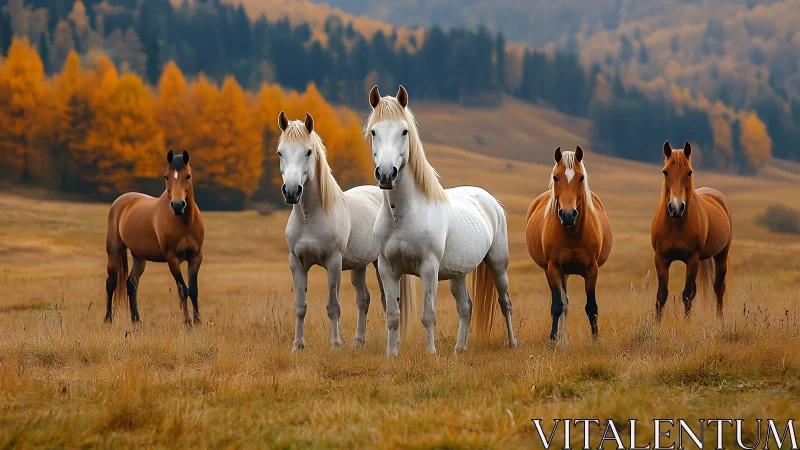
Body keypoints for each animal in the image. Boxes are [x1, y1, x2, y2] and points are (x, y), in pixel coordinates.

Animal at [104, 150, 205, 326]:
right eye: (166, 176)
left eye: (188, 176)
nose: (178, 205)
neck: (184, 223)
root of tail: (121, 201)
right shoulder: (173, 259)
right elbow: (183, 290)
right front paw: (187, 323)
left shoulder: (195, 257)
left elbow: (193, 291)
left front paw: (198, 322)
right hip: (114, 251)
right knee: (111, 283)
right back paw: (108, 320)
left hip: (139, 257)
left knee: (131, 284)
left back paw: (137, 321)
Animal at [278, 112, 414, 351]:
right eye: (280, 152)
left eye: (308, 151)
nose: (292, 191)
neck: (311, 218)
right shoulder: (297, 263)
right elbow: (300, 306)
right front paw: (298, 346)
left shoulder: (333, 263)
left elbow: (333, 305)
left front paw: (335, 344)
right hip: (358, 267)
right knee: (364, 300)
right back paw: (359, 343)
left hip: (378, 264)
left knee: (386, 302)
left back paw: (391, 343)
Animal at [365, 85, 518, 357]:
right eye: (374, 131)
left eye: (404, 131)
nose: (386, 174)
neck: (403, 216)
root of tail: (491, 202)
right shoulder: (387, 268)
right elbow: (393, 315)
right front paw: (391, 355)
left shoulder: (429, 268)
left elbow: (428, 315)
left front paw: (431, 353)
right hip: (458, 274)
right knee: (466, 307)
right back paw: (460, 347)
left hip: (498, 264)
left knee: (505, 301)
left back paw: (511, 343)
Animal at [525, 146, 613, 343]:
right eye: (556, 177)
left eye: (581, 178)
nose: (567, 214)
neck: (572, 233)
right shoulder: (554, 268)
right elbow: (558, 306)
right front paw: (553, 339)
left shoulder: (592, 269)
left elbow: (591, 307)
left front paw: (595, 340)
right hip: (553, 271)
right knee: (563, 303)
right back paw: (562, 340)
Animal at [651, 141, 732, 320]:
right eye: (665, 172)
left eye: (689, 172)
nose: (676, 208)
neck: (675, 224)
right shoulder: (661, 258)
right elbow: (661, 295)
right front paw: (656, 324)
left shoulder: (692, 259)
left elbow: (687, 295)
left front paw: (686, 323)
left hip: (721, 255)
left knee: (718, 288)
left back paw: (720, 320)